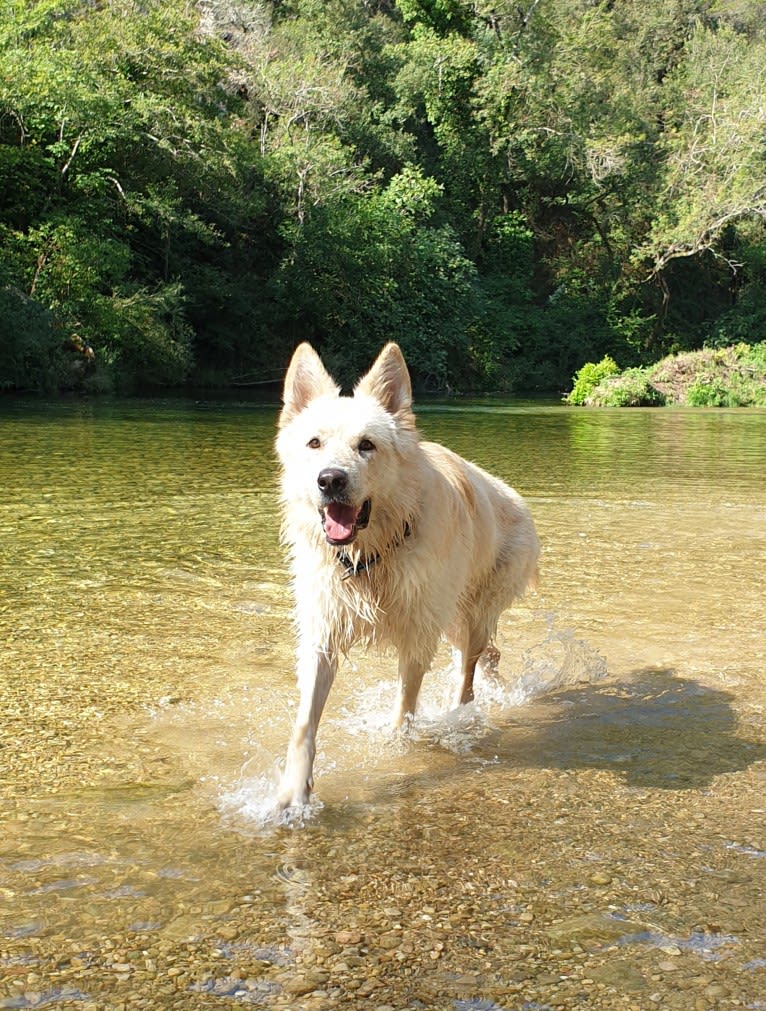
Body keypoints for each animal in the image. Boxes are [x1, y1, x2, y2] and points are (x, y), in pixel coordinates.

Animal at [274, 343, 541, 808]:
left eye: (367, 445)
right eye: (314, 443)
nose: (330, 480)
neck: (371, 557)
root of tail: (516, 499)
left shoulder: (417, 638)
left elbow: (405, 710)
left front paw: (397, 754)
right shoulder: (322, 632)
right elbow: (305, 721)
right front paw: (293, 792)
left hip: (467, 614)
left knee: (468, 674)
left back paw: (461, 715)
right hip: (451, 619)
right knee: (488, 656)